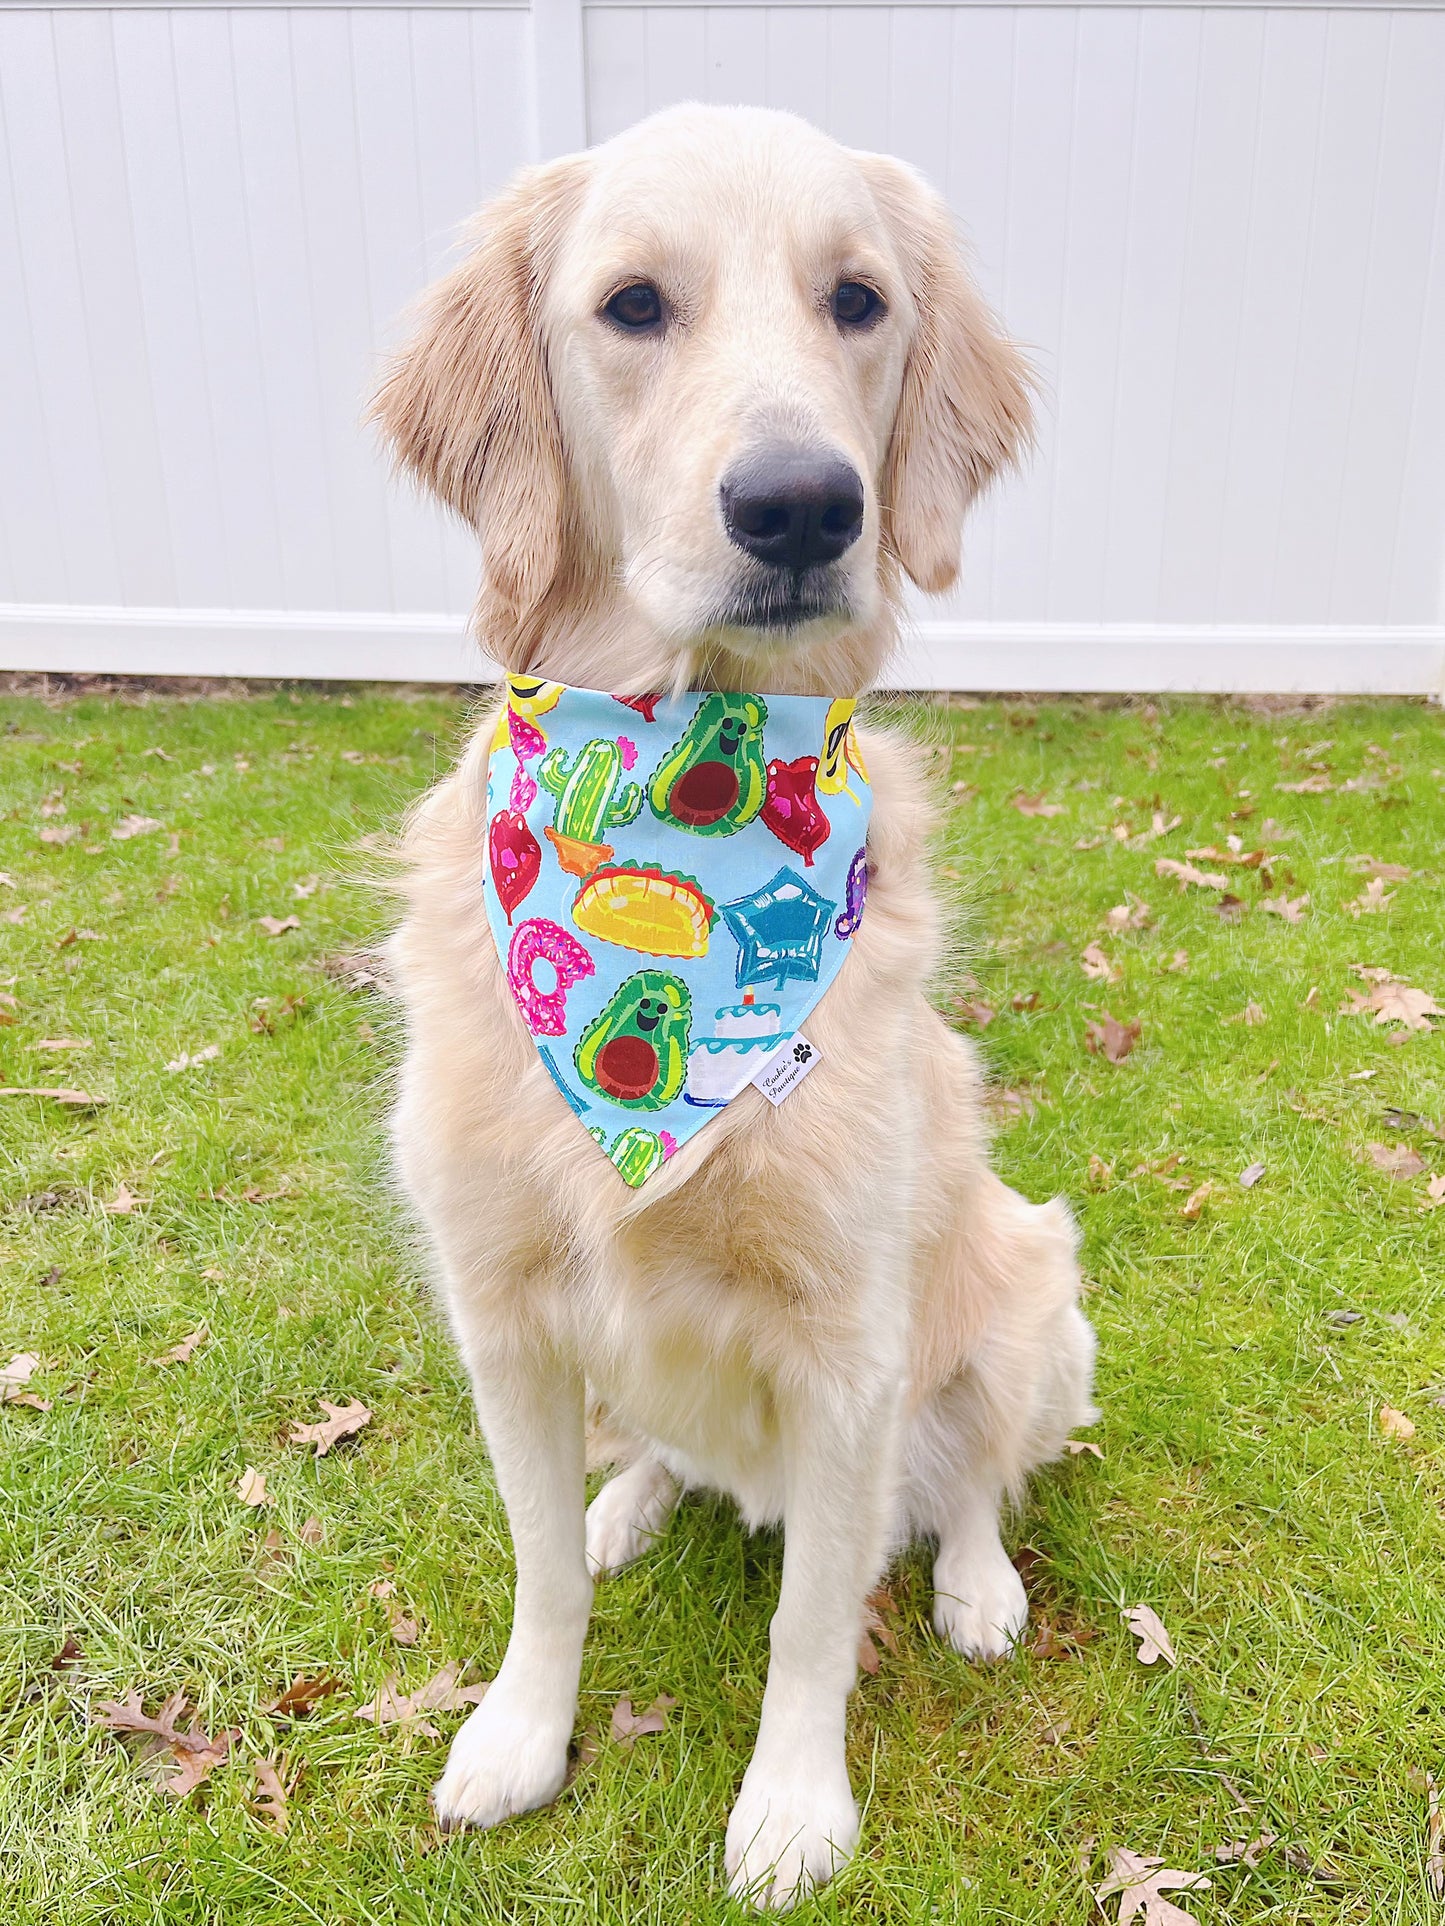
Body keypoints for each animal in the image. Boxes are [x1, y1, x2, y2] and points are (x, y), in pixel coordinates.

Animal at [373, 97, 1094, 1902]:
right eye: (633, 305)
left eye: (859, 301)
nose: (802, 506)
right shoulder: (498, 1310)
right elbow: (540, 1572)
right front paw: (520, 1730)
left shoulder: (849, 1347)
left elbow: (811, 1625)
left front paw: (789, 1807)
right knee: (653, 1459)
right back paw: (633, 1495)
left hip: (1032, 1291)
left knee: (979, 1474)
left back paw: (977, 1585)